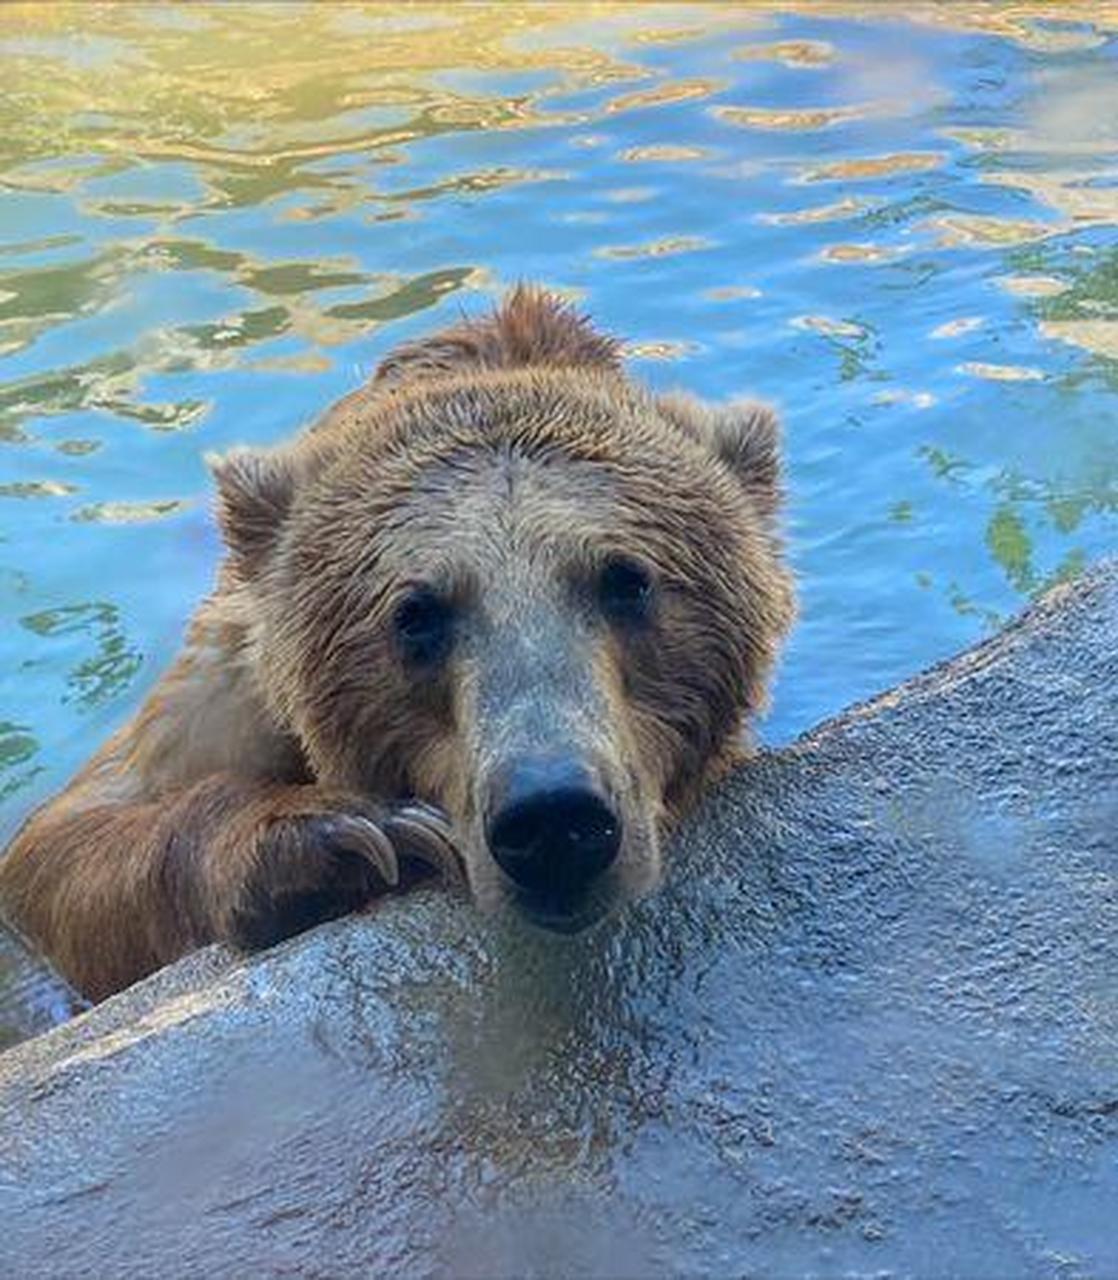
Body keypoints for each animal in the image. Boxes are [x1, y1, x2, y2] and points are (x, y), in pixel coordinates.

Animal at [0, 288, 793, 998]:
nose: (553, 818)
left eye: (627, 580)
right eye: (414, 614)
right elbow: (64, 842)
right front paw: (351, 832)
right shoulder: (236, 676)